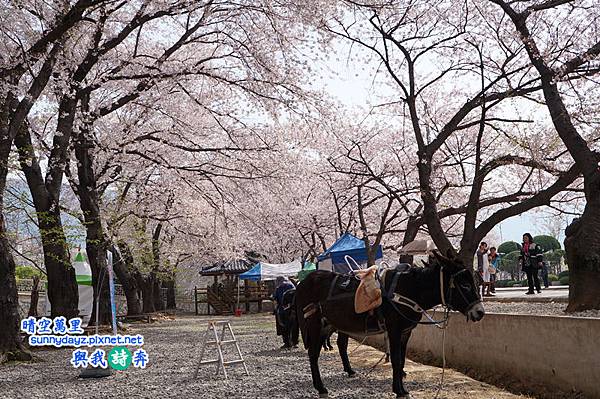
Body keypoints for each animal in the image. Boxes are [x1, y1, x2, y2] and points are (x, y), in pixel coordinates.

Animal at [296, 252, 488, 398]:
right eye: (464, 284)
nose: (480, 312)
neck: (410, 289)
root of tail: (304, 282)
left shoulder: (405, 333)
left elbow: (401, 360)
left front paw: (402, 387)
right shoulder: (394, 330)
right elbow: (395, 360)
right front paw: (399, 391)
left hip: (328, 325)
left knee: (332, 347)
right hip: (314, 324)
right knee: (313, 354)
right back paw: (321, 388)